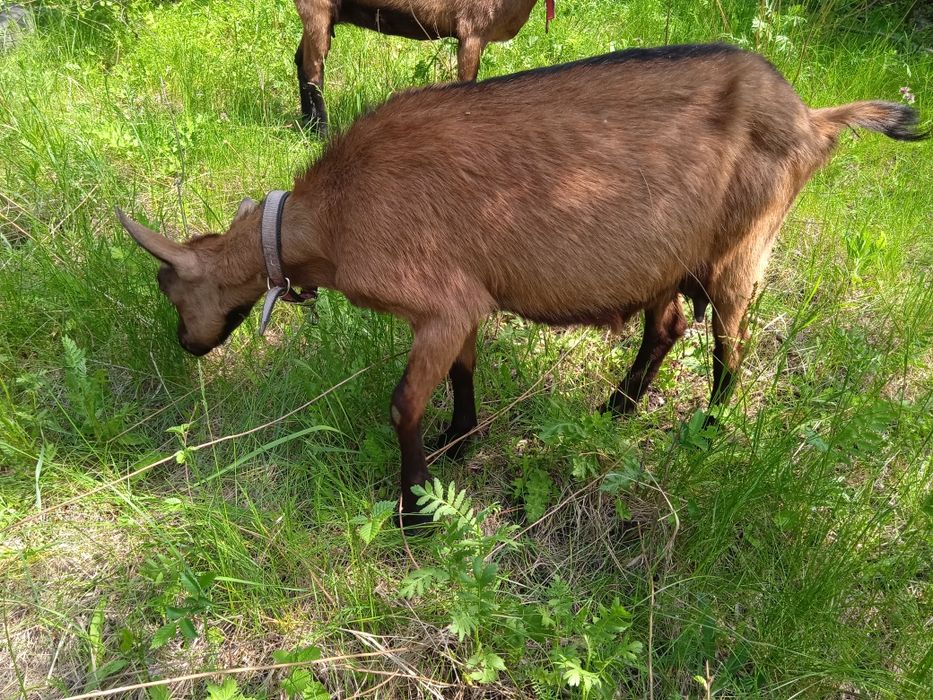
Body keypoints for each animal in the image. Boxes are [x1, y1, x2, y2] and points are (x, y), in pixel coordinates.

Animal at [117, 44, 927, 528]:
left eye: (166, 288)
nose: (187, 346)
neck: (332, 217)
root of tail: (813, 118)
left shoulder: (438, 303)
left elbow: (403, 402)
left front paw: (414, 507)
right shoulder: (461, 301)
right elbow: (463, 371)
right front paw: (461, 441)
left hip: (742, 248)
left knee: (732, 345)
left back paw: (707, 427)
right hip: (664, 261)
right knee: (666, 326)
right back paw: (616, 407)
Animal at [293, 0, 546, 131]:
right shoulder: (472, 33)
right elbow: (467, 84)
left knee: (300, 62)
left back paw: (307, 123)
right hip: (316, 11)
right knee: (313, 72)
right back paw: (322, 133)